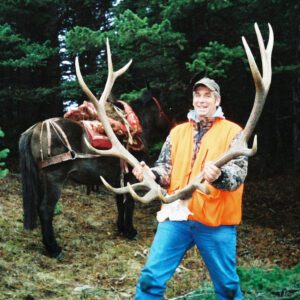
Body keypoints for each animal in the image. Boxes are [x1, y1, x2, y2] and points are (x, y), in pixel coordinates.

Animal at [18, 92, 172, 258]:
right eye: (163, 108)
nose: (171, 125)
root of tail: (33, 130)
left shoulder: (117, 180)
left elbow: (120, 203)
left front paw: (121, 228)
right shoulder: (131, 177)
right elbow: (129, 204)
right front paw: (131, 231)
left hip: (40, 179)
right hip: (54, 178)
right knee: (45, 209)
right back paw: (54, 249)